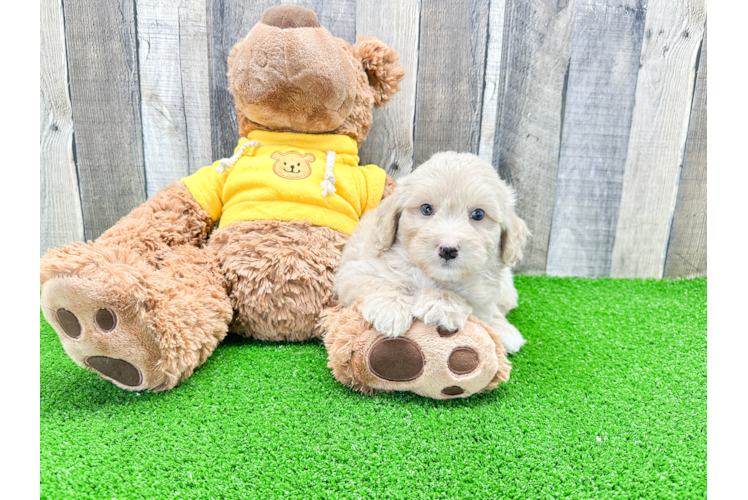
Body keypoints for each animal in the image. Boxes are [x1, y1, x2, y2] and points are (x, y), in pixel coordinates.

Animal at [334, 150, 532, 354]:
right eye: (426, 209)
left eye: (478, 214)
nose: (448, 250)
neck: (432, 275)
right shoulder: (354, 270)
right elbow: (376, 282)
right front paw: (391, 309)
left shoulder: (482, 299)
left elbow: (468, 303)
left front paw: (441, 304)